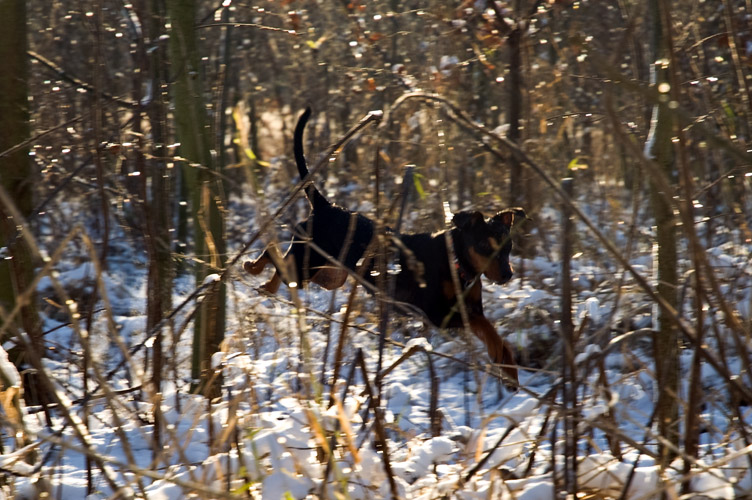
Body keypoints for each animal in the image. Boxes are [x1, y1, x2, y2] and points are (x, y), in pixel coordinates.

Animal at [247, 107, 524, 384]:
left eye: (508, 246)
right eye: (484, 245)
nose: (508, 274)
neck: (456, 261)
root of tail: (327, 206)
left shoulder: (471, 309)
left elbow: (493, 334)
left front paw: (509, 369)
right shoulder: (437, 314)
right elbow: (485, 328)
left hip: (331, 276)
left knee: (284, 265)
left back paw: (264, 284)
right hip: (307, 265)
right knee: (273, 251)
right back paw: (254, 269)